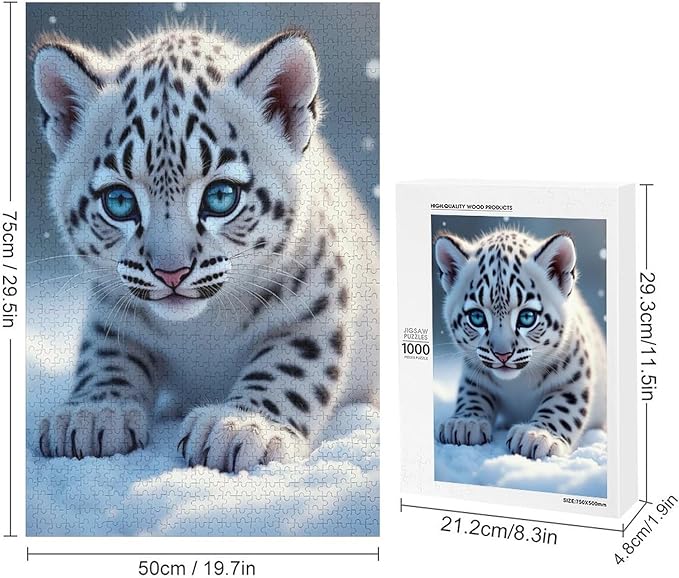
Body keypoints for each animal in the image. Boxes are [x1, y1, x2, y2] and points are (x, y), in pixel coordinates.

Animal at [31, 26, 378, 473]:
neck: (202, 328)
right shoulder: (112, 310)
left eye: (221, 196)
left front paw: (240, 427)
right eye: (119, 201)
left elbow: (288, 365)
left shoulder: (314, 306)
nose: (171, 272)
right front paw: (91, 414)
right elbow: (106, 356)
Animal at [434, 228, 605, 459]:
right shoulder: (474, 373)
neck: (518, 382)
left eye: (527, 317)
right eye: (477, 317)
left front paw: (537, 436)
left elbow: (560, 406)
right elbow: (472, 394)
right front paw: (464, 423)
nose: (502, 354)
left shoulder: (574, 376)